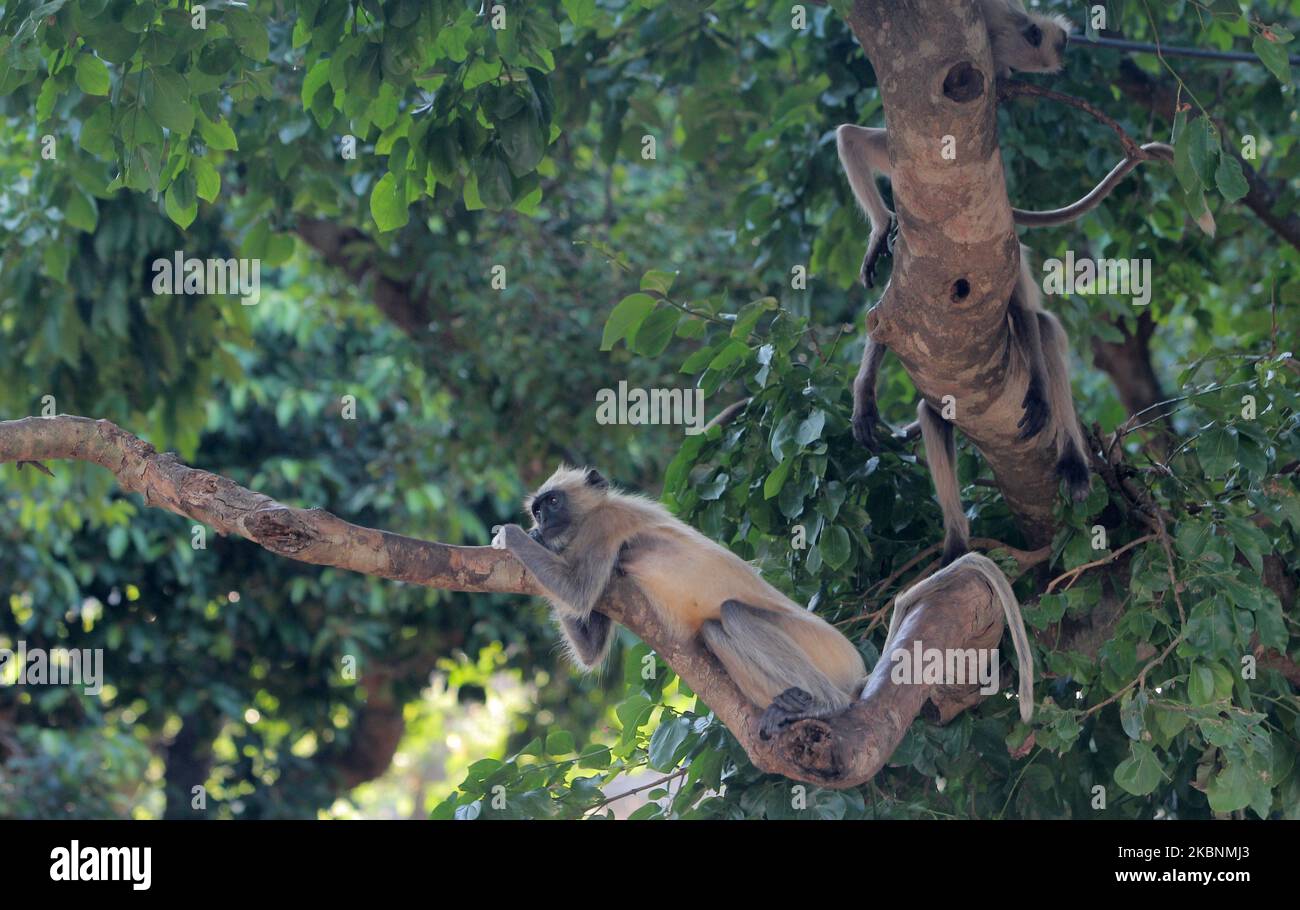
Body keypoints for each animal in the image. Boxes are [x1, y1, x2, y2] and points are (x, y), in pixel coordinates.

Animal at [491, 465, 868, 738]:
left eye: (553, 503)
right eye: (537, 509)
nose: (542, 521)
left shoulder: (604, 524)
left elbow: (577, 593)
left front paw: (511, 535)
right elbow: (590, 649)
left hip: (827, 648)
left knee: (733, 613)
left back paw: (827, 704)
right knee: (716, 629)